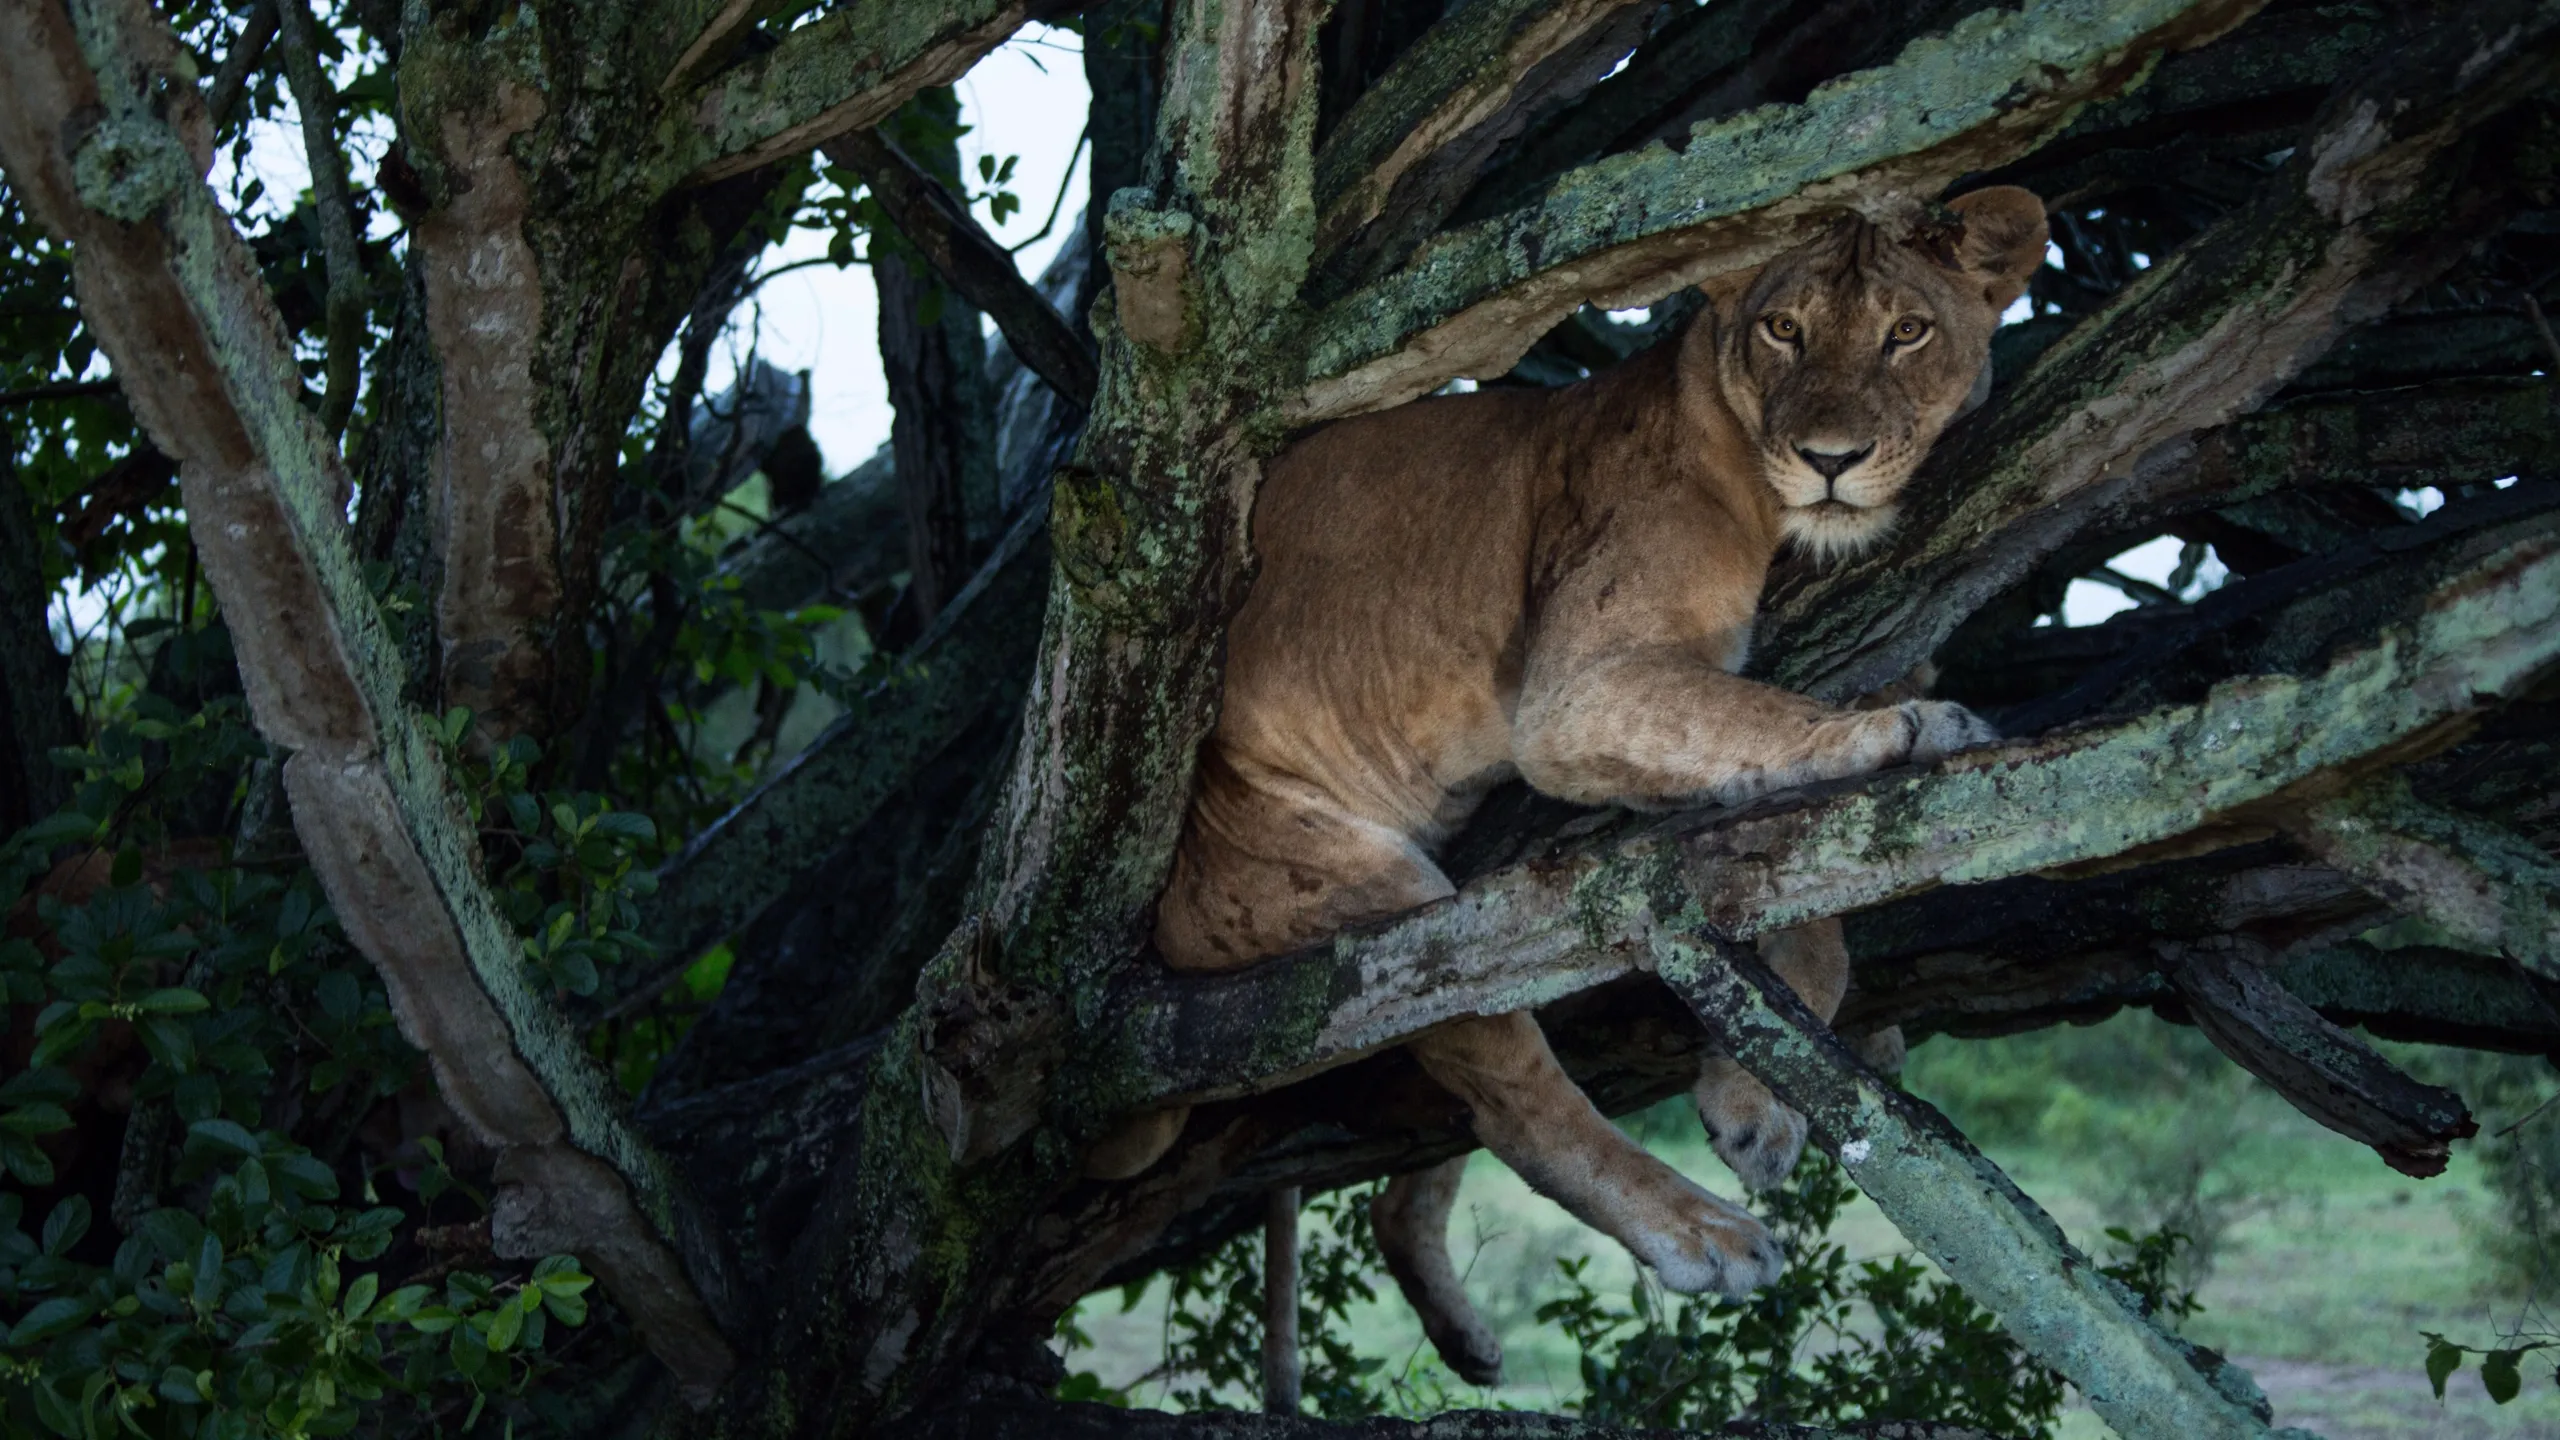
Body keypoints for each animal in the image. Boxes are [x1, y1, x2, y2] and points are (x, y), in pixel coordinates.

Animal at [1116, 187, 2048, 1383]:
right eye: (1784, 330)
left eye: (1908, 332)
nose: (1829, 457)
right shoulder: (1578, 698)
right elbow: (1777, 719)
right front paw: (1911, 730)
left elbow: (1817, 921)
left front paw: (1759, 1098)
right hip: (1376, 906)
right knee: (1513, 1097)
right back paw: (1699, 1233)